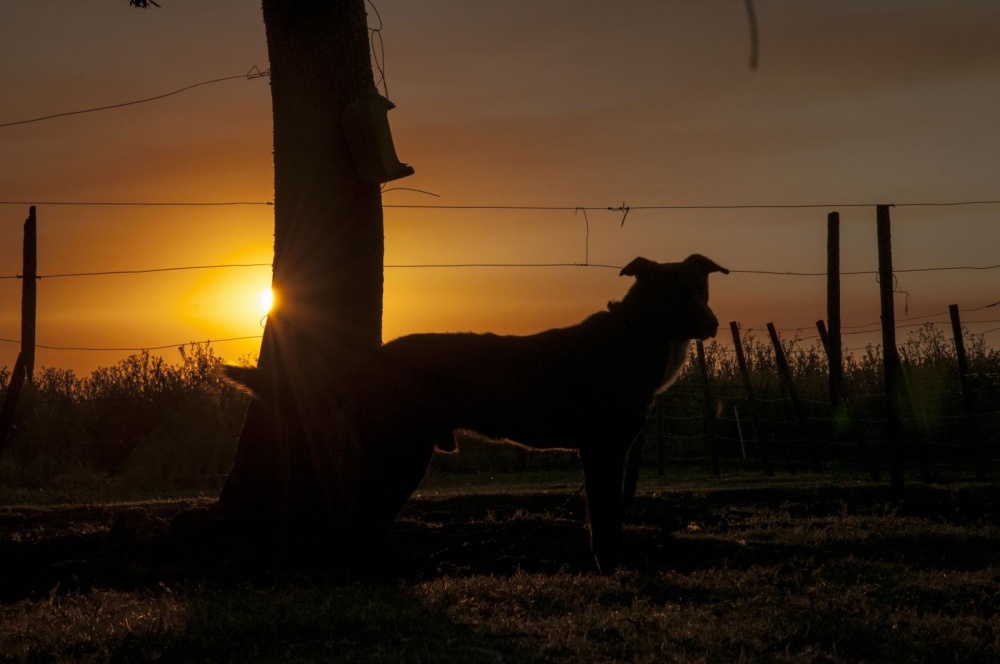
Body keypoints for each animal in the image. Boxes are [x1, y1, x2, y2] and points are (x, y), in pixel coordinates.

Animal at [227, 254, 728, 572]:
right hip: (402, 454)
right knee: (363, 519)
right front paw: (610, 567)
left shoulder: (609, 452)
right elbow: (604, 520)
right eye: (673, 294)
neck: (636, 335)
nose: (712, 324)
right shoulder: (601, 452)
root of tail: (368, 362)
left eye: (701, 290)